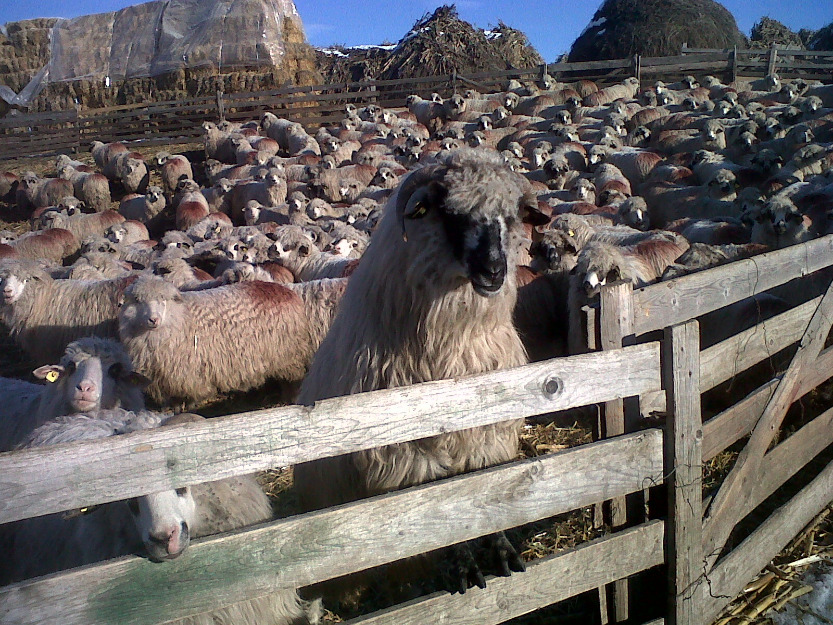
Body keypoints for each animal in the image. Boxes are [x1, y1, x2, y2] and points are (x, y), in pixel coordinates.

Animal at [120, 274, 318, 404]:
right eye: (137, 301)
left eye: (164, 300)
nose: (153, 319)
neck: (180, 317)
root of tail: (284, 290)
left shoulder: (187, 374)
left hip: (289, 354)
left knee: (294, 380)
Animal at [292, 149, 528, 588]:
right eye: (450, 214)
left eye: (509, 216)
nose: (494, 271)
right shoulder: (406, 453)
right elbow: (435, 510)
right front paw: (462, 566)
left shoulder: (490, 435)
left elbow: (489, 490)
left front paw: (502, 550)